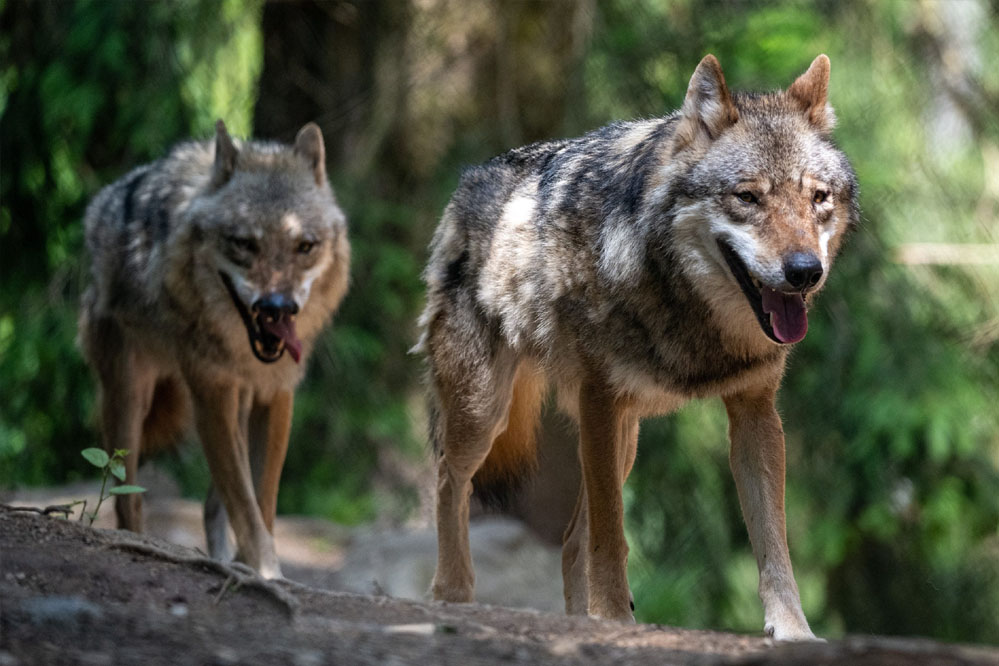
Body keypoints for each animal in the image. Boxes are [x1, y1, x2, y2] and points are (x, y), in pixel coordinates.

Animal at [80, 119, 352, 576]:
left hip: (235, 405)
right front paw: (265, 569)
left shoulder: (275, 395)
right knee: (127, 498)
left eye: (305, 246)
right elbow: (245, 504)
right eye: (244, 243)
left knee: (211, 504)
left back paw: (224, 559)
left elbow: (262, 500)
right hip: (129, 401)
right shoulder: (211, 392)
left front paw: (254, 566)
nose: (276, 308)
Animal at [418, 54, 864, 636]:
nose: (805, 271)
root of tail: (471, 177)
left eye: (818, 198)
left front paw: (792, 631)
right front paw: (612, 617)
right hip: (485, 413)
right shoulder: (600, 402)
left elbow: (774, 544)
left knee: (569, 541)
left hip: (622, 436)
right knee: (451, 482)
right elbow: (612, 538)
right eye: (747, 197)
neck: (687, 307)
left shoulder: (756, 412)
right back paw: (453, 595)